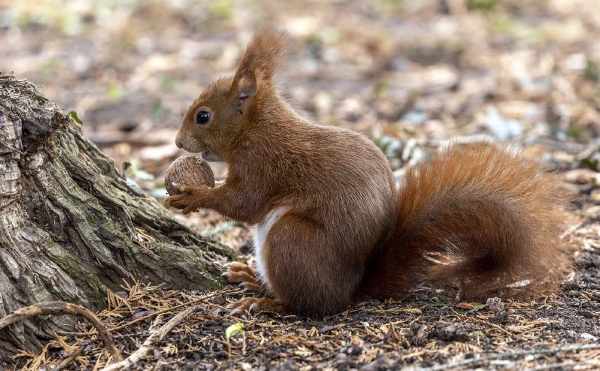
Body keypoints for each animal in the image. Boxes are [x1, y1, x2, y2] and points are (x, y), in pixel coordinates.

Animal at [168, 28, 572, 316]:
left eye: (203, 116)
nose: (177, 141)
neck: (256, 126)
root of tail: (350, 290)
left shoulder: (263, 162)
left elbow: (244, 203)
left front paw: (193, 195)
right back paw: (250, 278)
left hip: (291, 239)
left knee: (308, 306)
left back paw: (266, 301)